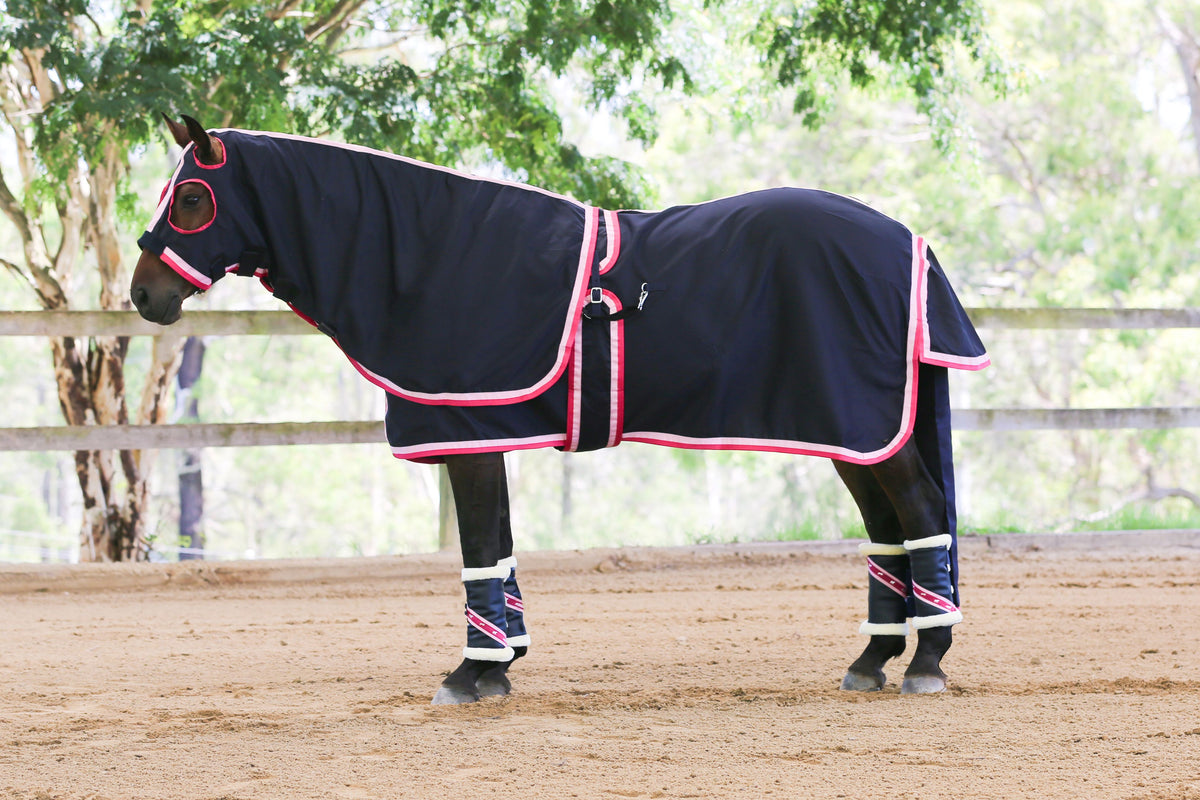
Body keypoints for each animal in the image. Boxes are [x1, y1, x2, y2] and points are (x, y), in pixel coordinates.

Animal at [131, 114, 989, 704]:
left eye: (194, 199)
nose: (145, 296)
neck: (433, 253)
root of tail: (907, 242)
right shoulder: (483, 435)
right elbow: (501, 551)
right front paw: (501, 664)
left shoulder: (468, 436)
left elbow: (480, 549)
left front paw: (471, 674)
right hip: (856, 437)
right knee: (888, 529)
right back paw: (872, 659)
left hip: (865, 430)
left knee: (918, 513)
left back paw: (926, 660)